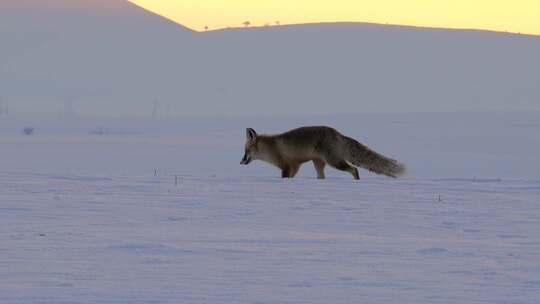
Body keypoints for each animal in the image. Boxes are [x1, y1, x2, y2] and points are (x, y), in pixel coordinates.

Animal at [240, 126, 404, 179]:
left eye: (246, 151)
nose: (241, 162)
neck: (271, 147)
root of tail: (337, 133)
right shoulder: (294, 166)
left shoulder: (289, 166)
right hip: (318, 163)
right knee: (322, 177)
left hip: (334, 162)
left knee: (354, 169)